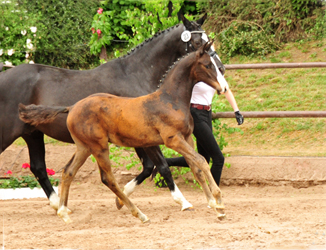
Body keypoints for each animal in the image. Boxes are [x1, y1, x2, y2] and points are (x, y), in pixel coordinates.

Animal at [19, 42, 225, 224]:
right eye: (208, 65)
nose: (223, 88)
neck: (170, 100)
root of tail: (72, 107)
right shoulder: (172, 139)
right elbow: (200, 161)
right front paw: (219, 202)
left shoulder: (187, 138)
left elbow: (196, 167)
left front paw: (213, 205)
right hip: (99, 147)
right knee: (108, 178)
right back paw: (140, 214)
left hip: (84, 147)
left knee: (69, 171)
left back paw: (64, 212)